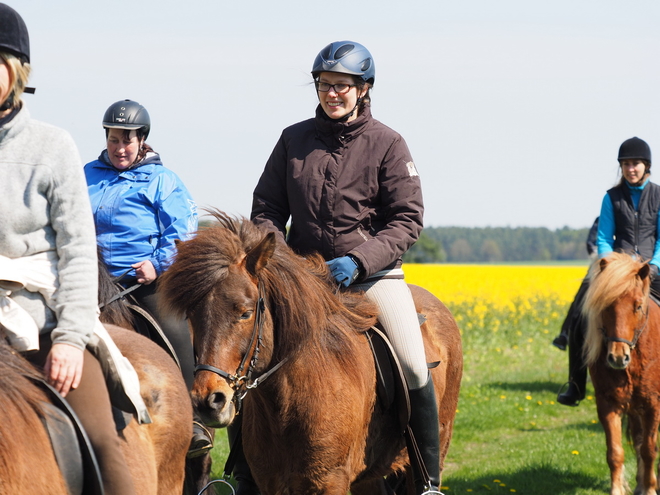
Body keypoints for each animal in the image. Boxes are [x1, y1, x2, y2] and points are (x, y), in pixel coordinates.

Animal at [157, 211, 462, 495]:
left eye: (245, 312)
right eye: (192, 316)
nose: (208, 402)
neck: (289, 401)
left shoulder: (330, 482)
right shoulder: (271, 483)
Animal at [584, 254, 660, 495]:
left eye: (638, 306)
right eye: (606, 305)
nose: (618, 357)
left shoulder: (654, 404)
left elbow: (649, 449)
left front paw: (651, 489)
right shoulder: (608, 404)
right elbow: (616, 452)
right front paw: (619, 489)